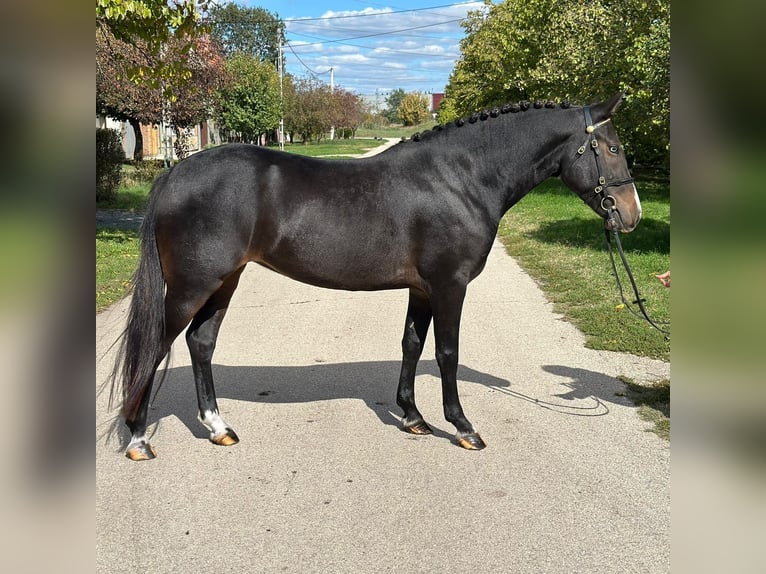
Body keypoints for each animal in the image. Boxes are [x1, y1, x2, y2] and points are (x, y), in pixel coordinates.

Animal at [111, 94, 644, 464]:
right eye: (613, 148)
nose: (632, 215)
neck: (461, 178)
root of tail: (176, 172)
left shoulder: (422, 289)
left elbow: (411, 344)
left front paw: (413, 418)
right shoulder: (450, 286)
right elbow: (447, 353)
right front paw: (462, 427)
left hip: (225, 281)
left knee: (201, 343)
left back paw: (218, 427)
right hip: (192, 285)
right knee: (156, 346)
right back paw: (138, 437)